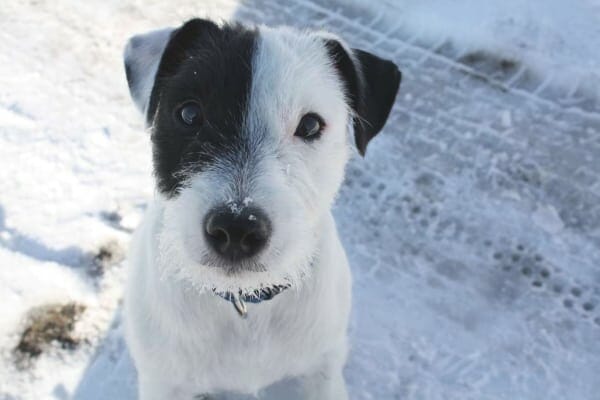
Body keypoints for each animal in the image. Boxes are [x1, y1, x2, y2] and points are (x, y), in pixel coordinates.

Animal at [123, 18, 398, 400]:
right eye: (189, 113)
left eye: (310, 124)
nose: (236, 228)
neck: (246, 303)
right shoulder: (165, 382)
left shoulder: (321, 374)